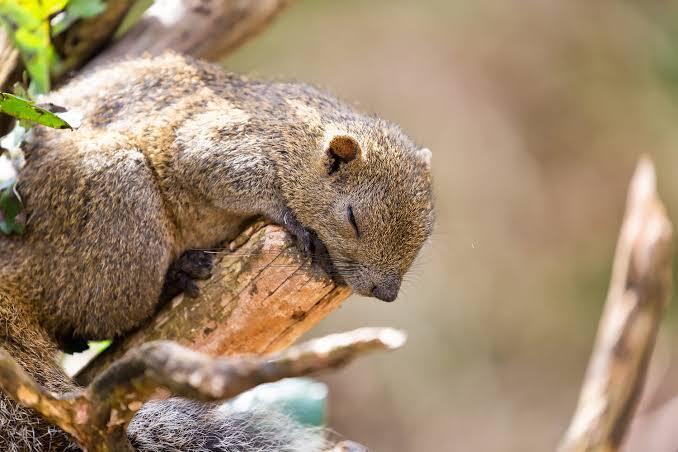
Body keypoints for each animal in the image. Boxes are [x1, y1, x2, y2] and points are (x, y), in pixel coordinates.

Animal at [0, 52, 434, 451]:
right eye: (352, 218)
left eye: (426, 231)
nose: (387, 292)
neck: (295, 138)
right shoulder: (220, 146)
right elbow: (230, 179)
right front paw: (295, 224)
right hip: (118, 190)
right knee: (95, 319)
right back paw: (177, 278)